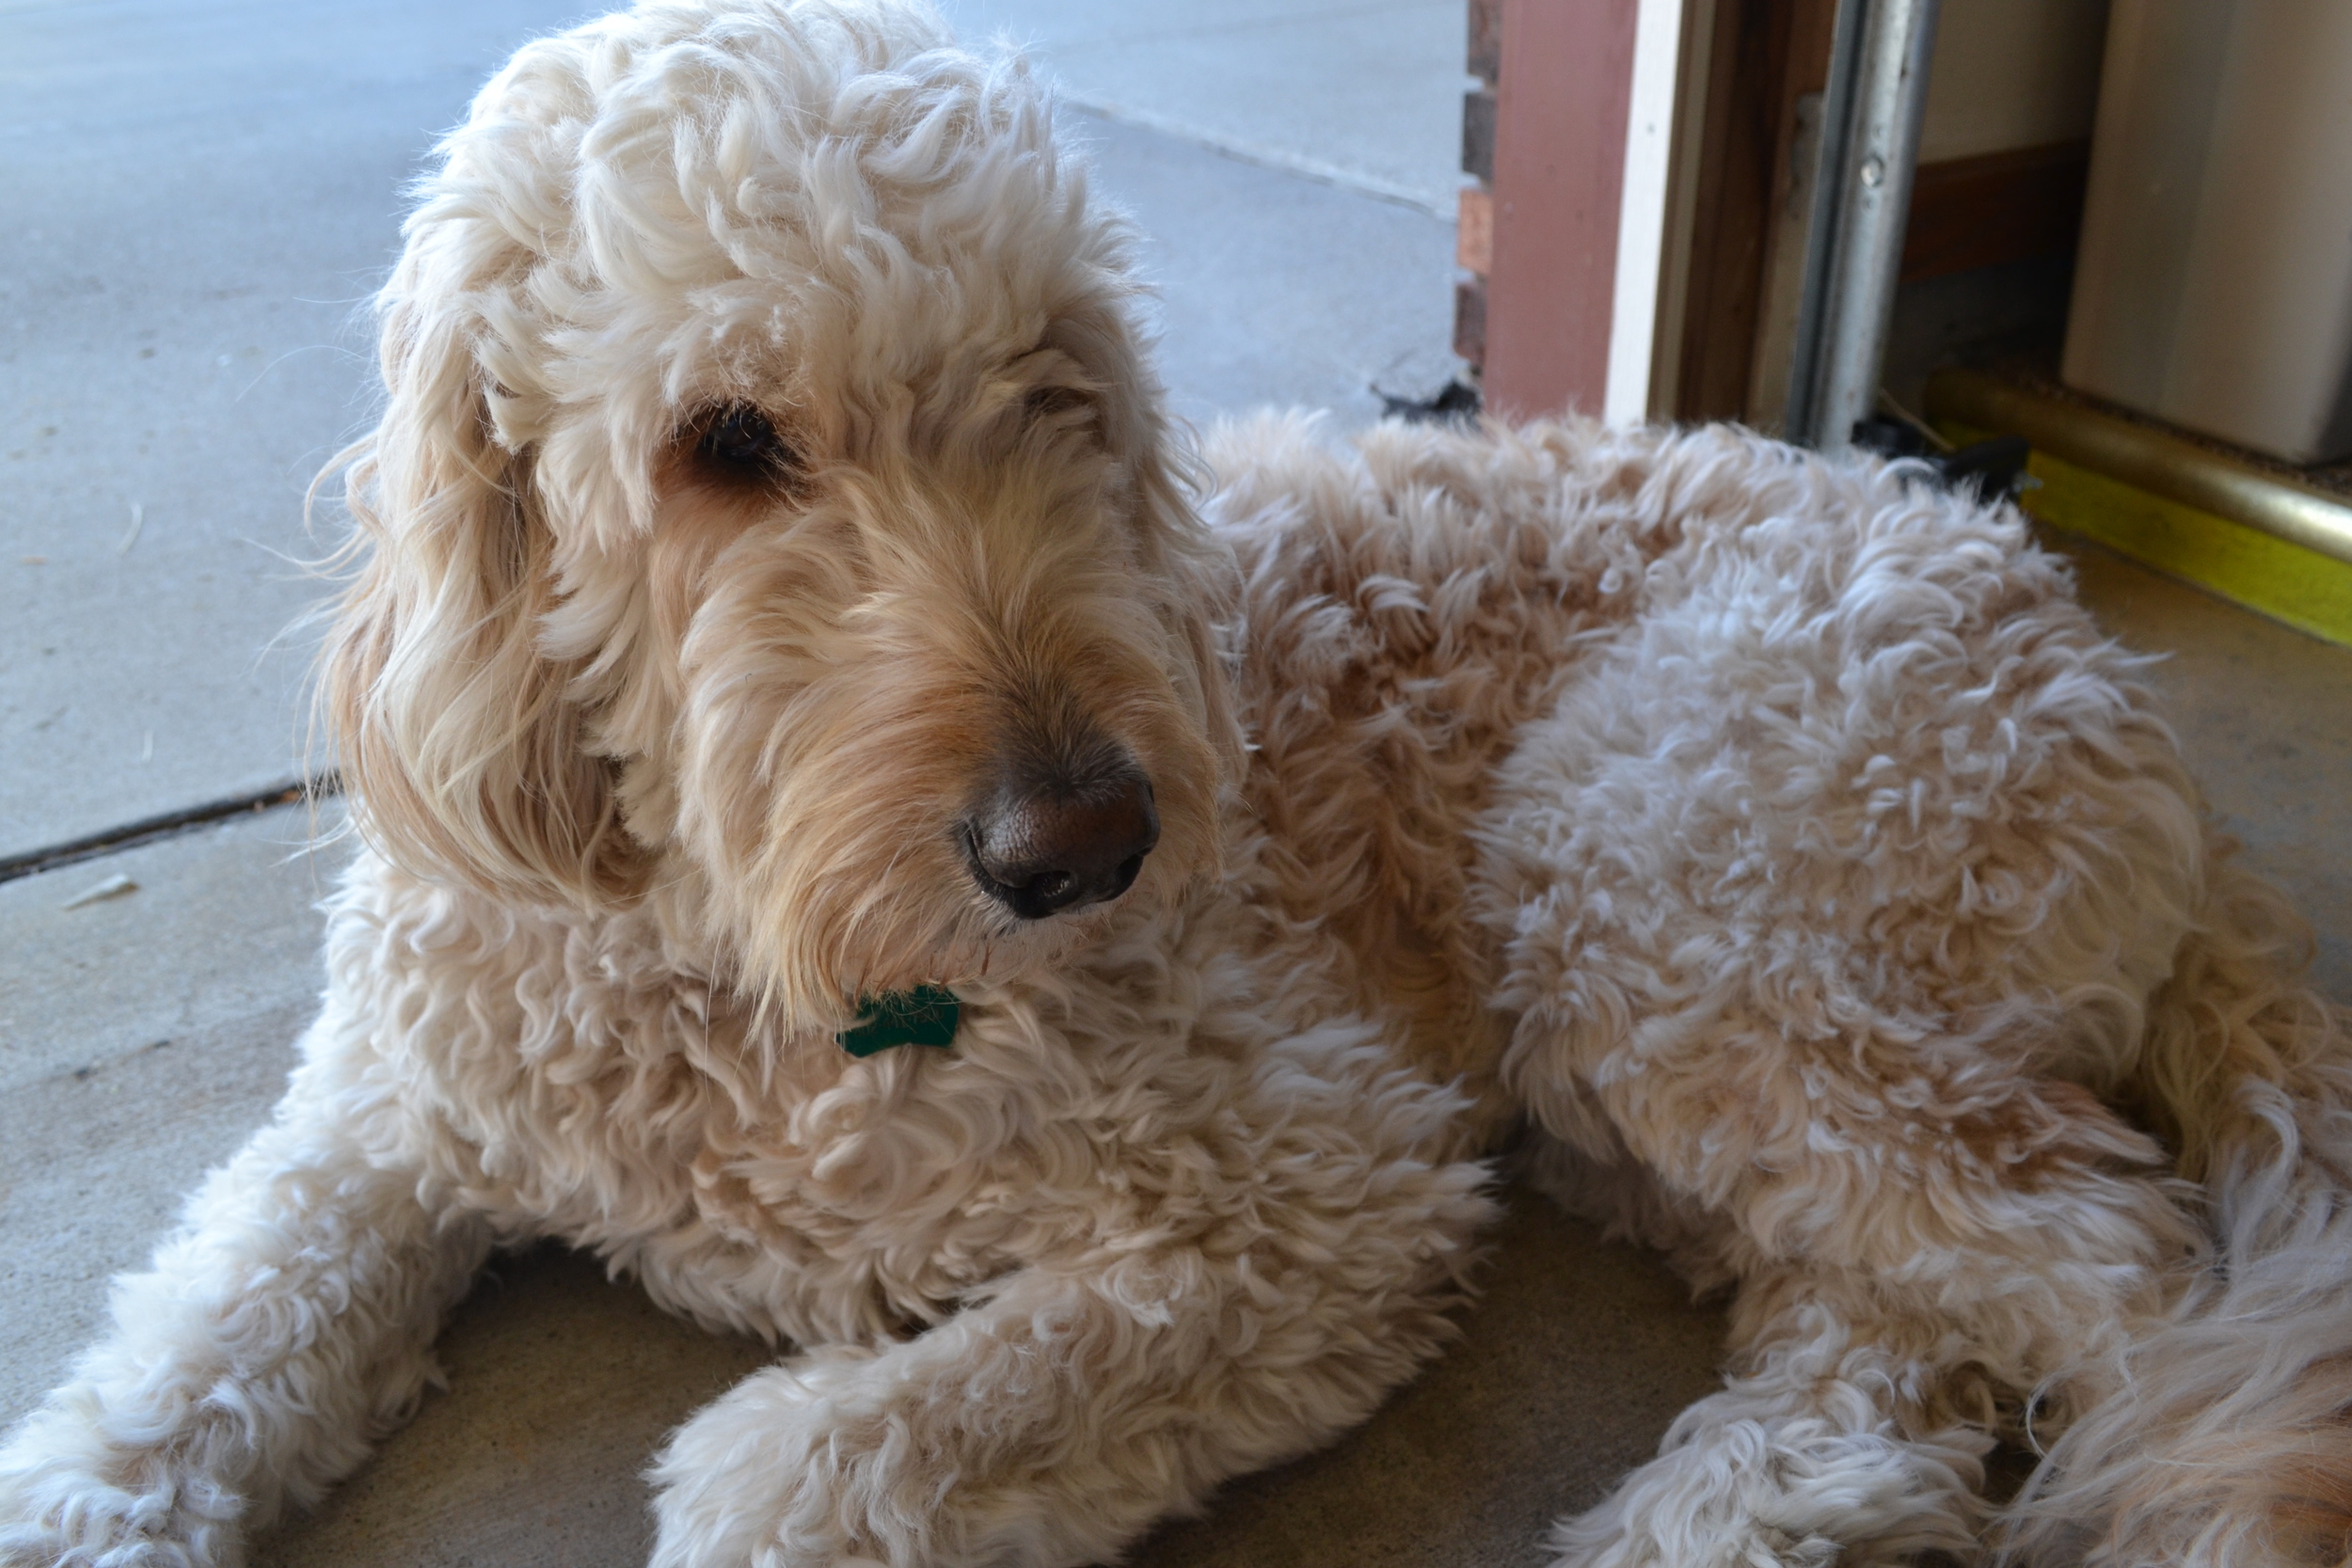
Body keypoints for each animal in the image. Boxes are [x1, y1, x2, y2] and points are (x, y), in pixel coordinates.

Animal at [4, 3, 2352, 1568]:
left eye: (1050, 385)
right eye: (726, 442)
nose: (1091, 843)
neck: (744, 945)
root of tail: (2081, 635)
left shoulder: (1323, 1180)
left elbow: (836, 1449)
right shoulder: (393, 1111)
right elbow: (208, 1320)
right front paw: (87, 1485)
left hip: (1663, 897)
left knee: (2112, 1277)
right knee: (1907, 1337)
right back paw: (1726, 1504)